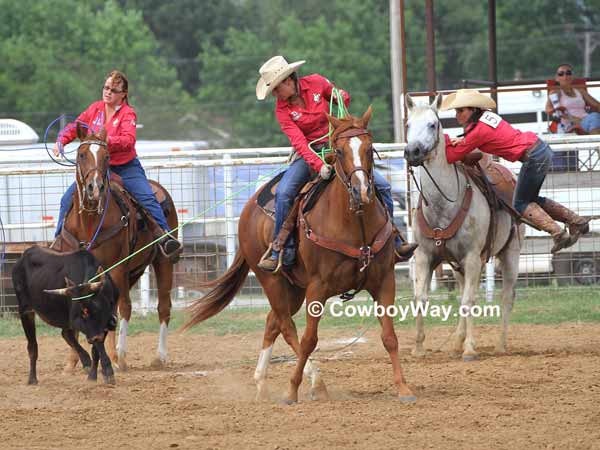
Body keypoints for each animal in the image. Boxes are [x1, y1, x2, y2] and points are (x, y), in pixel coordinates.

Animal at [54, 125, 178, 370]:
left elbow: (117, 307)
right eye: (81, 154)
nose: (94, 188)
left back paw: (154, 356)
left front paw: (112, 358)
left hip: (163, 261)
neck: (89, 223)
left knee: (161, 307)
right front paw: (73, 363)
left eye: (107, 156)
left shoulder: (115, 268)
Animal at [183, 108, 418, 404]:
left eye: (369, 147)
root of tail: (248, 209)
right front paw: (292, 390)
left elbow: (389, 336)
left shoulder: (384, 281)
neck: (355, 226)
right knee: (287, 327)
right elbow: (308, 340)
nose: (361, 192)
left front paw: (404, 389)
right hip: (272, 281)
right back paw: (315, 382)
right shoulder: (317, 288)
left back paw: (261, 383)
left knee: (272, 322)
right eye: (338, 151)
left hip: (293, 287)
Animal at [404, 93, 524, 360]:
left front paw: (470, 348)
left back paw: (500, 345)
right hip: (458, 265)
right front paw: (418, 348)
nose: (412, 151)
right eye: (407, 124)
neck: (443, 205)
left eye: (433, 124)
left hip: (509, 252)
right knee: (462, 294)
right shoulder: (424, 255)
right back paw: (457, 341)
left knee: (506, 297)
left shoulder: (471, 257)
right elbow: (421, 298)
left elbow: (470, 301)